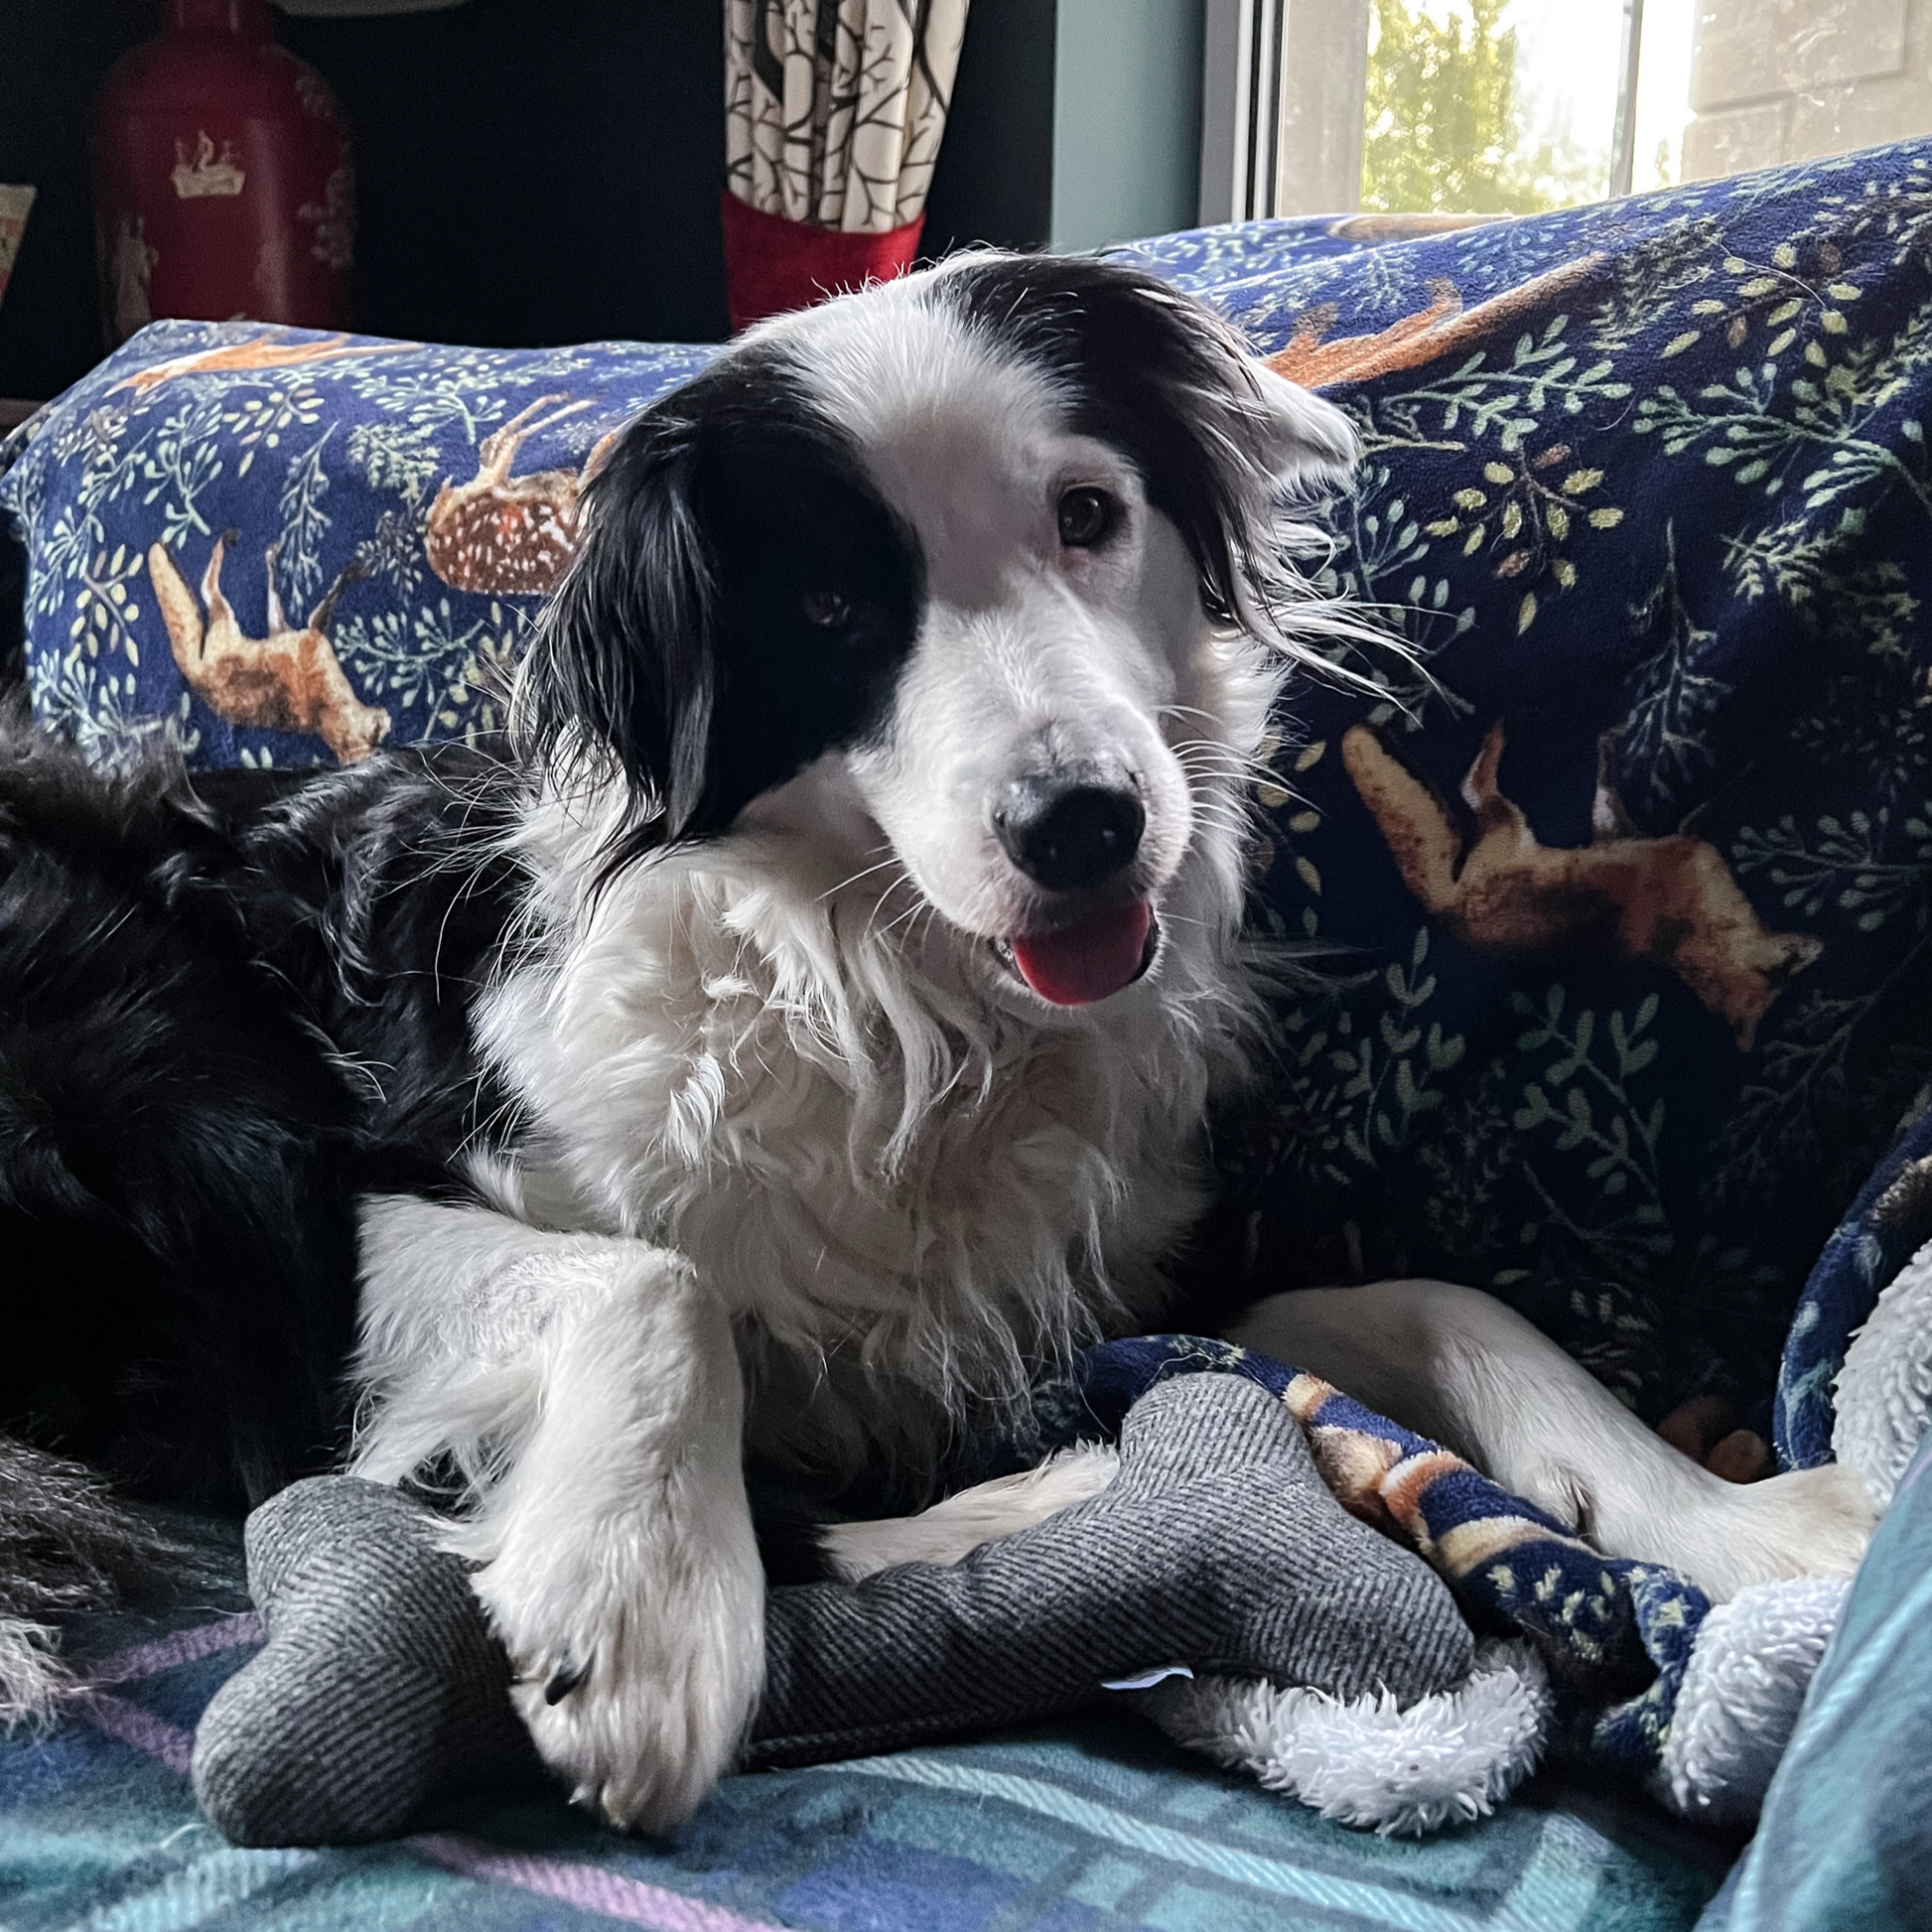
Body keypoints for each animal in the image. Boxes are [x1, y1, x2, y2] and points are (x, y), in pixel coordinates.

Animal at [0, 252, 1869, 1824]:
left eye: (1089, 513)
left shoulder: (1121, 1262)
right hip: (192, 1094)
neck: (884, 996)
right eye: (829, 610)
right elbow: (659, 1286)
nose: (1086, 826)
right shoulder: (363, 1189)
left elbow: (1446, 1296)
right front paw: (642, 1604)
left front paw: (1744, 1520)